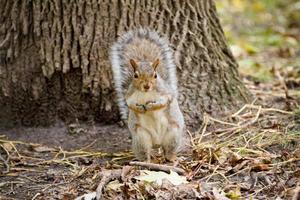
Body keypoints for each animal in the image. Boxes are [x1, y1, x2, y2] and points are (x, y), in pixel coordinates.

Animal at [109, 28, 184, 162]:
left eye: (155, 75)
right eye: (135, 75)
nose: (146, 86)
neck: (146, 93)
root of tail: (157, 143)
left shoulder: (165, 92)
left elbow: (165, 101)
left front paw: (151, 106)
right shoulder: (129, 95)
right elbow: (129, 104)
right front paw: (139, 108)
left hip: (173, 134)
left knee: (169, 152)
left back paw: (173, 159)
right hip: (141, 138)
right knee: (145, 152)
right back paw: (147, 161)